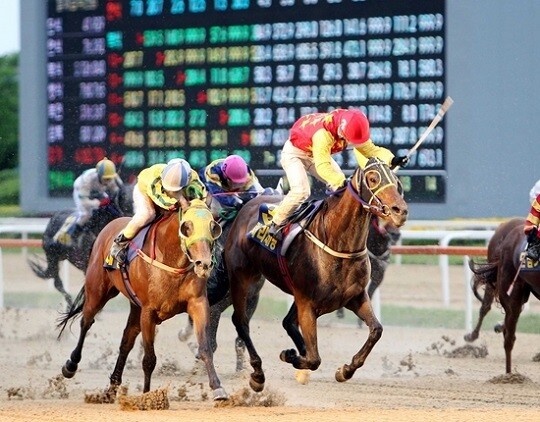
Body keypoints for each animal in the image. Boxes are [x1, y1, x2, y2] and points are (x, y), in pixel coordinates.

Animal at [57, 197, 228, 398]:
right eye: (186, 227)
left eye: (213, 227)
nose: (204, 264)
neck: (172, 260)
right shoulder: (148, 311)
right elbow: (149, 359)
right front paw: (147, 395)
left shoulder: (198, 303)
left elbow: (205, 348)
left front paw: (218, 388)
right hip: (97, 291)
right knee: (86, 322)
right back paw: (71, 365)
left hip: (134, 307)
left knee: (126, 341)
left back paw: (112, 388)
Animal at [223, 159, 404, 392]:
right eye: (373, 179)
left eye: (397, 181)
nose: (400, 211)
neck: (337, 243)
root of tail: (248, 204)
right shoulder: (307, 303)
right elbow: (314, 359)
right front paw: (289, 356)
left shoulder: (355, 297)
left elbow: (376, 330)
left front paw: (345, 370)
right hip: (242, 277)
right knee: (241, 321)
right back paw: (257, 374)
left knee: (287, 322)